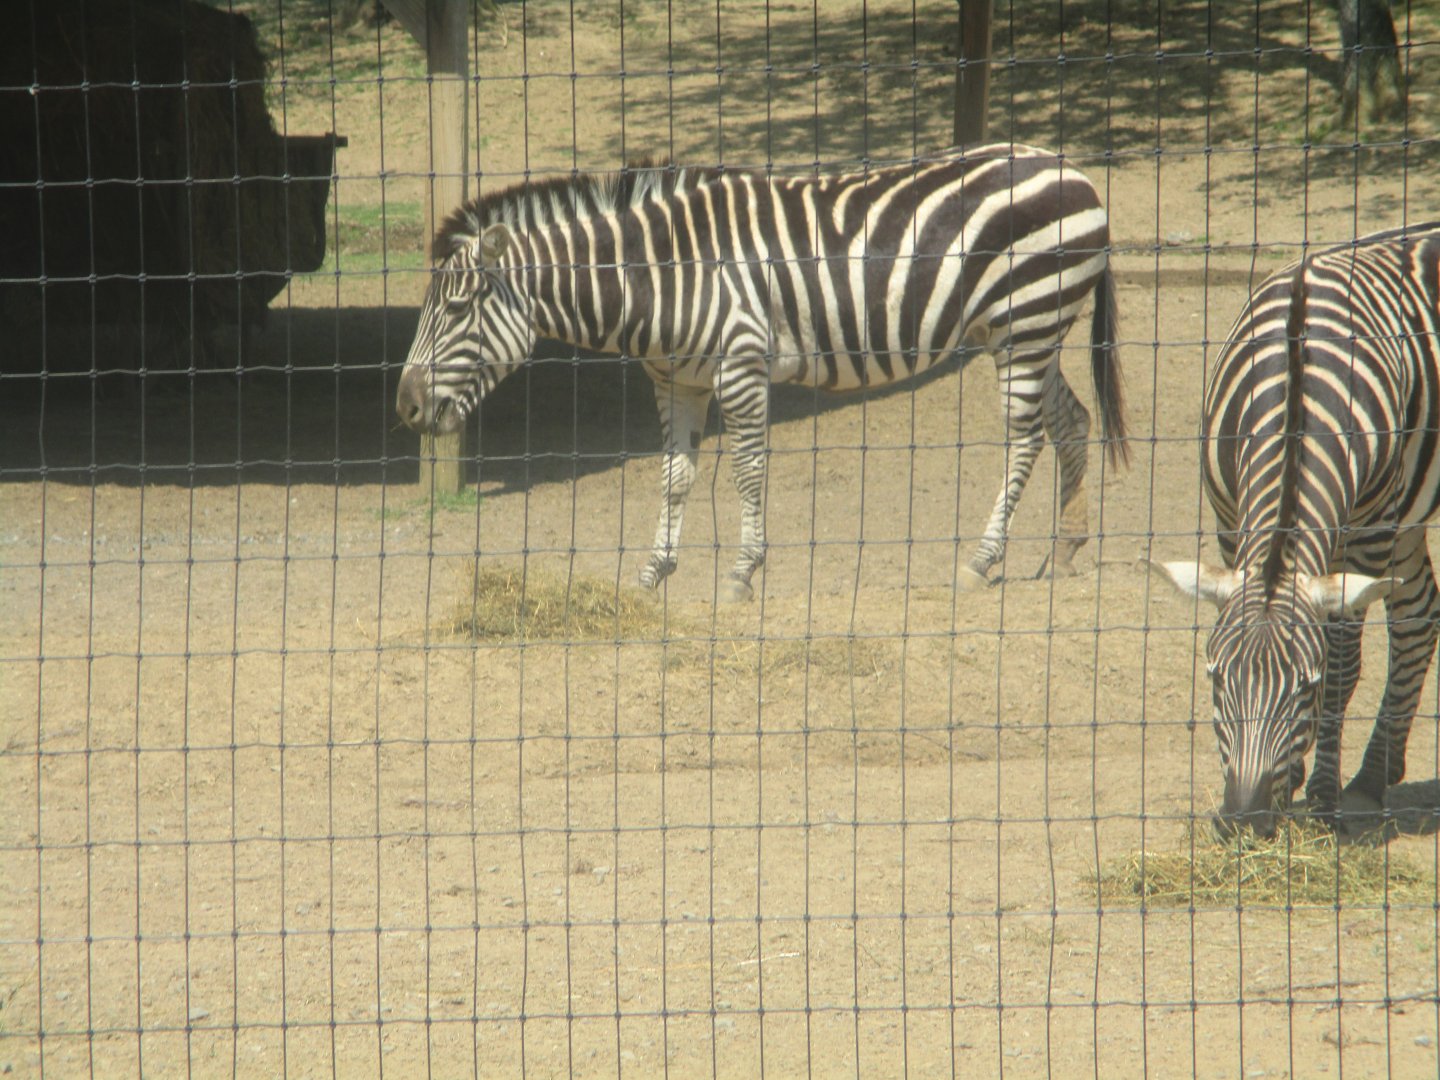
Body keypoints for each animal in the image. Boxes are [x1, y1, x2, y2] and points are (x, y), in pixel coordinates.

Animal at [396, 145, 1128, 601]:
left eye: (456, 309)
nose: (404, 407)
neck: (660, 276)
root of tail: (1070, 167)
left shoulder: (741, 366)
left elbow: (746, 471)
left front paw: (742, 575)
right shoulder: (675, 381)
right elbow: (675, 476)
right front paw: (651, 575)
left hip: (1026, 321)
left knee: (1025, 437)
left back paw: (981, 560)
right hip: (1022, 333)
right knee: (1072, 420)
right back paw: (1067, 551)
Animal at [1153, 222, 1440, 837]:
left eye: (1305, 688)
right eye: (1215, 679)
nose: (1244, 821)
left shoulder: (1369, 536)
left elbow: (1344, 666)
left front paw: (1323, 797)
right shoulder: (1229, 524)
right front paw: (1295, 782)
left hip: (1391, 517)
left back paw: (1362, 783)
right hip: (1406, 507)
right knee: (1419, 615)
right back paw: (1376, 773)